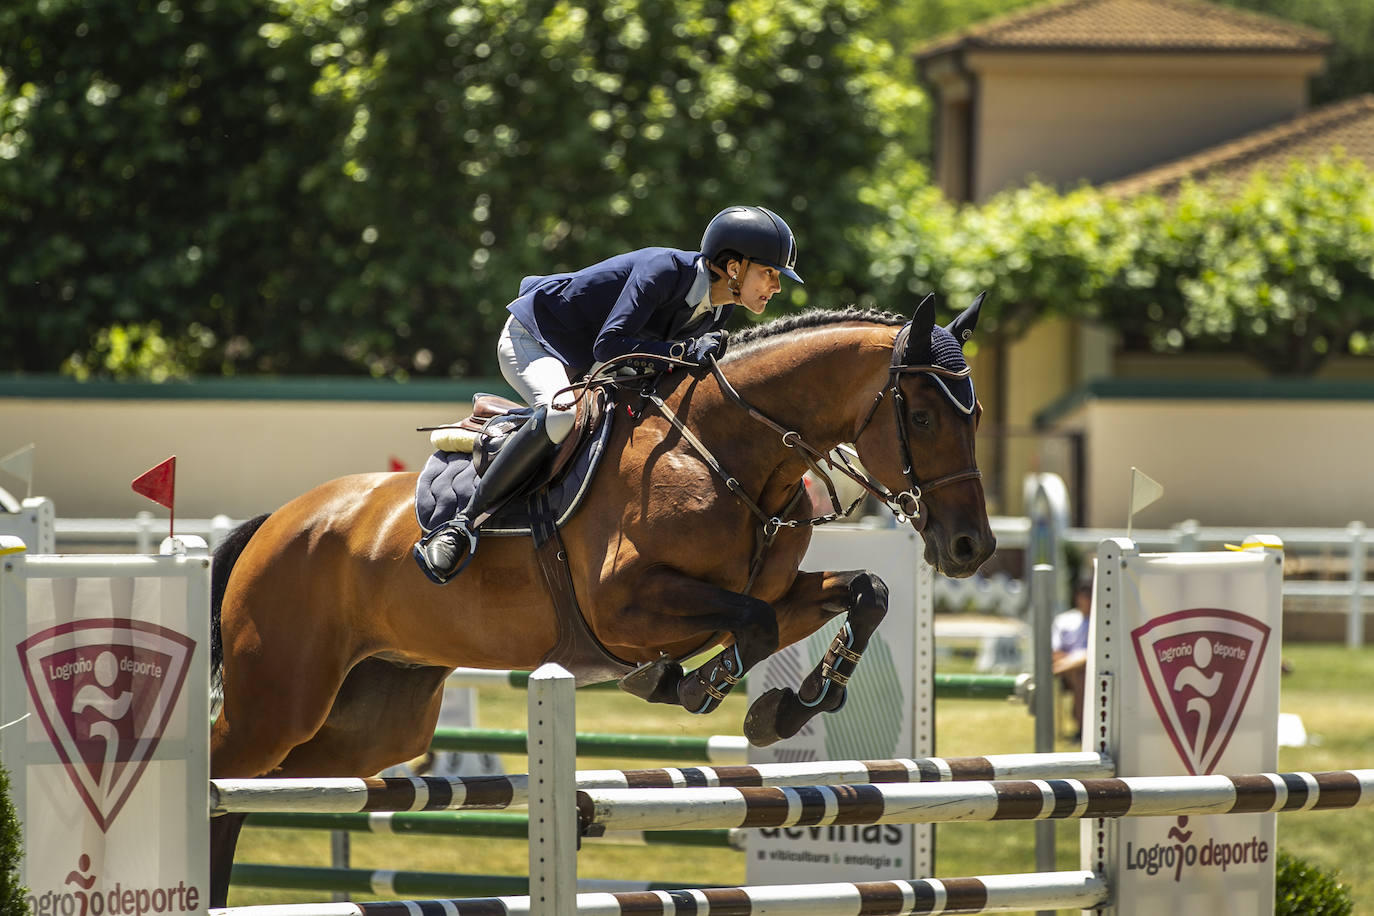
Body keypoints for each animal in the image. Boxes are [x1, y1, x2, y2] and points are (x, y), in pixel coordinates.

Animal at [208, 295, 994, 900]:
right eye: (923, 417)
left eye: (977, 415)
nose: (971, 548)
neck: (725, 452)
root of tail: (276, 521)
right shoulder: (625, 607)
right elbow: (753, 625)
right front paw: (694, 685)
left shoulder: (774, 589)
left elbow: (865, 592)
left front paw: (791, 706)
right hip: (279, 700)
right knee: (222, 775)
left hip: (371, 723)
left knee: (261, 790)